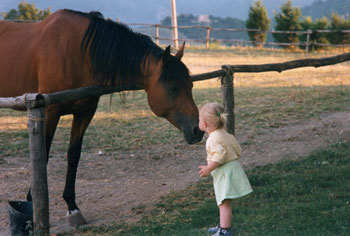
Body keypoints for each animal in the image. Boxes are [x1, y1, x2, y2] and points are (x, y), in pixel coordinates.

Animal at [0, 9, 204, 226]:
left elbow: (74, 156)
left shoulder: (85, 112)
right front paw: (32, 205)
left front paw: (72, 207)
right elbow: (43, 156)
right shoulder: (49, 111)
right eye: (173, 88)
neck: (79, 52)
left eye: (190, 85)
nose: (197, 129)